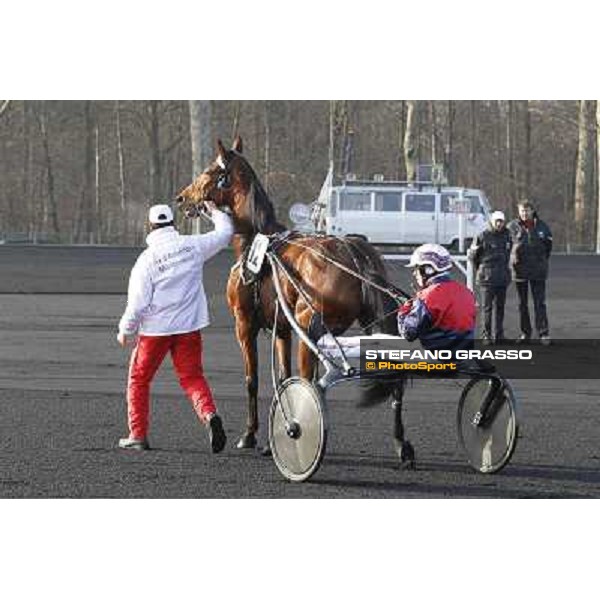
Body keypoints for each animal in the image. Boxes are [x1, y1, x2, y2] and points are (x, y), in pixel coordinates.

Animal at [176, 136, 414, 464]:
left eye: (210, 171)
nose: (181, 197)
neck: (256, 243)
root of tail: (352, 252)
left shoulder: (244, 324)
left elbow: (252, 379)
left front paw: (250, 435)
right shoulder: (283, 330)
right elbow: (283, 377)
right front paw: (269, 438)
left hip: (310, 326)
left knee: (312, 383)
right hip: (369, 324)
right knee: (392, 383)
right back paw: (401, 444)